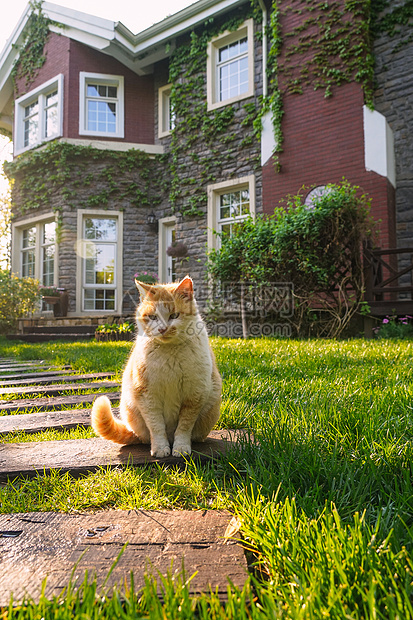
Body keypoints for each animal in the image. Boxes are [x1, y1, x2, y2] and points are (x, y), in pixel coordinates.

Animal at [91, 276, 222, 456]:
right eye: (152, 317)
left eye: (174, 315)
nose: (162, 329)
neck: (170, 352)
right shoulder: (147, 395)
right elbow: (156, 426)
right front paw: (160, 448)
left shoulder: (194, 395)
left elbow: (184, 427)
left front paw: (181, 448)